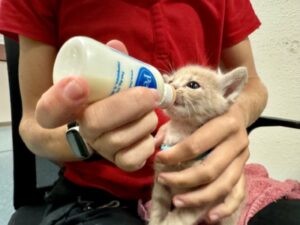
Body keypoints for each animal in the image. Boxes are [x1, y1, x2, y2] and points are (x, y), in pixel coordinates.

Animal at [149, 64, 247, 225]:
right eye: (171, 80)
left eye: (193, 85)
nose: (171, 85)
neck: (180, 132)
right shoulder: (161, 183)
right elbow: (158, 209)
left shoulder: (199, 197)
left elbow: (176, 220)